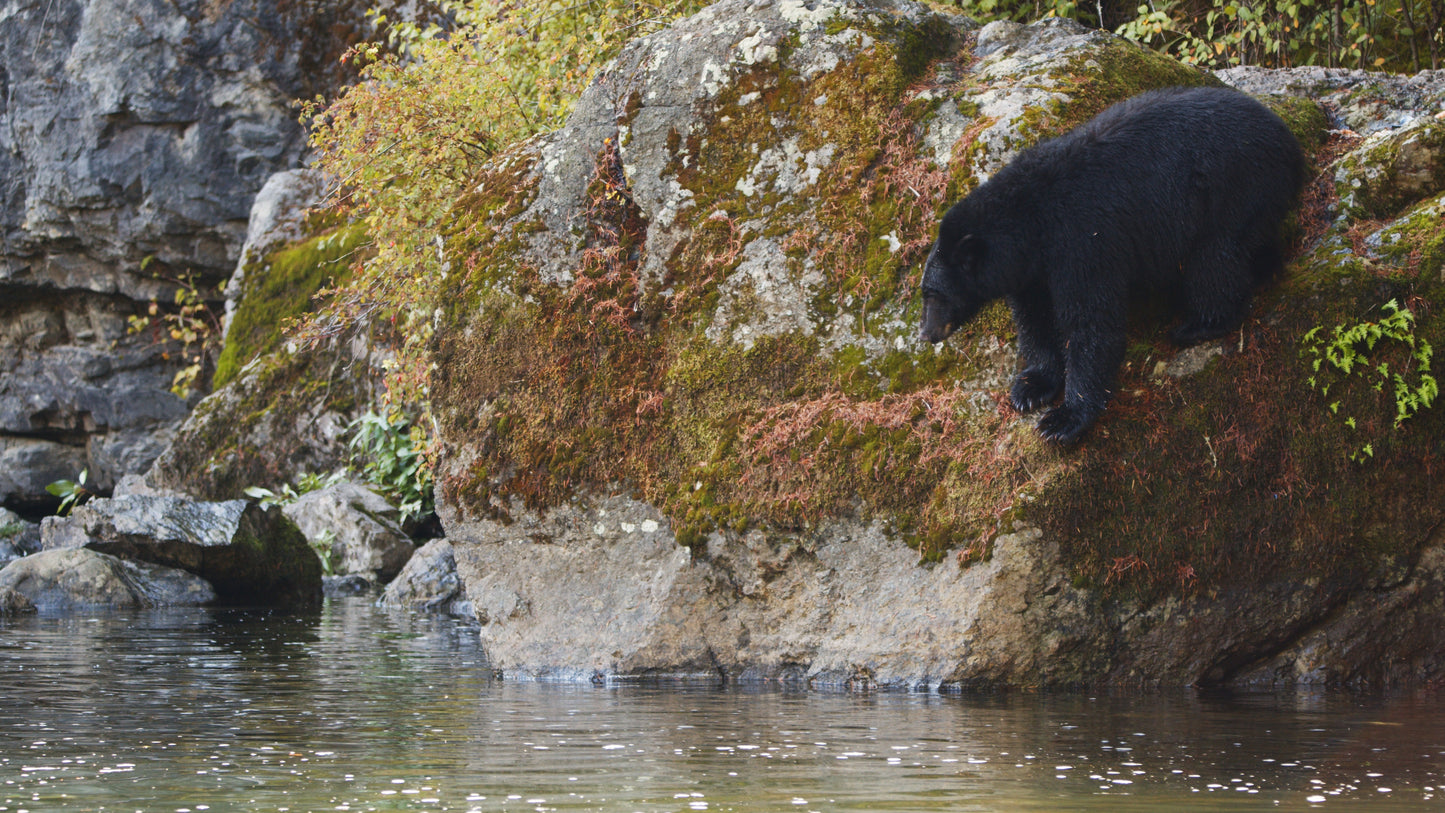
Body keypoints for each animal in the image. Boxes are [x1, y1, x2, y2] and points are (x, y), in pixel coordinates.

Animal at [924, 86, 1312, 444]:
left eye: (934, 295)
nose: (926, 334)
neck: (1030, 219)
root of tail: (1290, 141)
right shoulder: (1031, 270)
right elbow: (1036, 318)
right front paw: (1032, 386)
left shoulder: (1082, 240)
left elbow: (1092, 322)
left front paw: (1064, 419)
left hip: (1233, 188)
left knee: (1215, 259)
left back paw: (1200, 325)